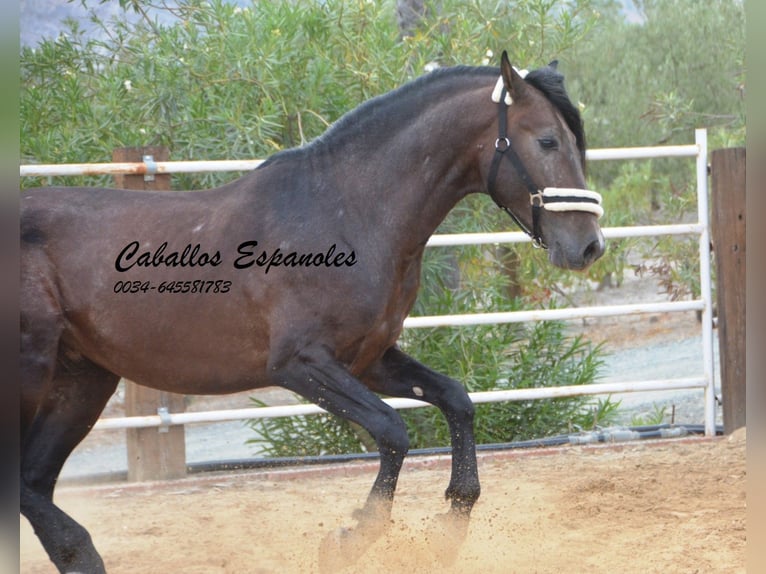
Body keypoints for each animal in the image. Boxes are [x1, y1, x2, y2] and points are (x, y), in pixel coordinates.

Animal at [19, 51, 608, 572]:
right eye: (547, 140)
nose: (589, 247)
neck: (347, 214)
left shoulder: (368, 360)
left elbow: (456, 400)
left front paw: (449, 525)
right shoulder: (300, 365)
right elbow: (393, 429)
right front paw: (350, 539)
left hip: (84, 380)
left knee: (31, 484)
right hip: (36, 375)